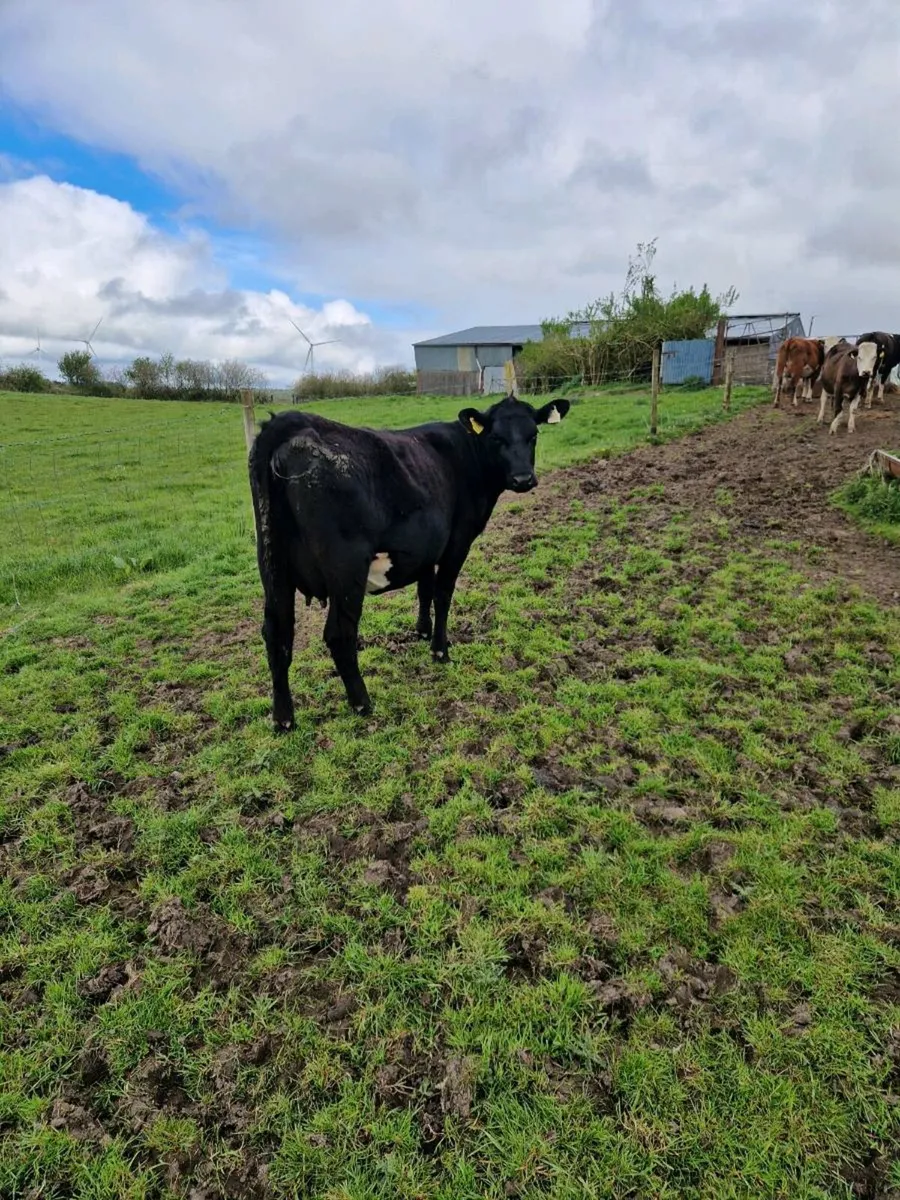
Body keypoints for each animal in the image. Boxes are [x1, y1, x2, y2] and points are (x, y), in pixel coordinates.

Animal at [248, 394, 571, 730]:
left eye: (533, 434)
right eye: (496, 438)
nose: (523, 479)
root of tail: (291, 421)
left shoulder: (427, 548)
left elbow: (424, 590)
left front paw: (422, 631)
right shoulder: (457, 542)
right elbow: (442, 595)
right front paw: (440, 650)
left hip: (273, 568)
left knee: (277, 635)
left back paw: (284, 719)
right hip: (346, 570)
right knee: (338, 635)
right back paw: (362, 703)